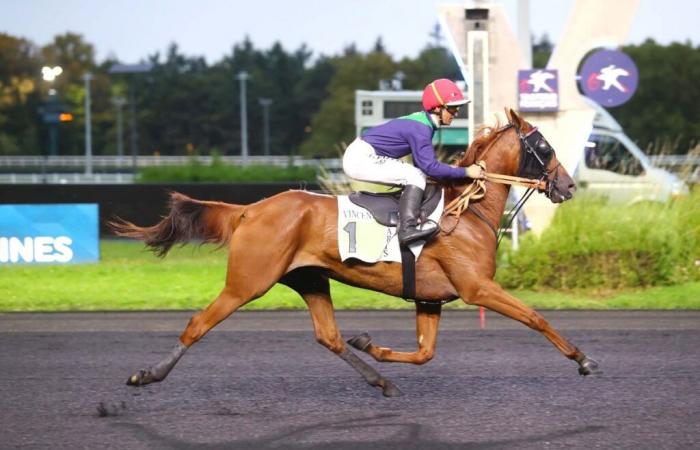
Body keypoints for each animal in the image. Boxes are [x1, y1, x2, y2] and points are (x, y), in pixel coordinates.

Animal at [112, 109, 600, 398]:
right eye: (544, 147)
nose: (568, 186)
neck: (466, 210)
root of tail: (250, 209)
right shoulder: (478, 288)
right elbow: (536, 318)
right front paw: (583, 359)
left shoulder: (430, 298)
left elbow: (424, 353)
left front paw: (371, 345)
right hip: (248, 281)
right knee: (198, 323)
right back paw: (147, 374)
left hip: (309, 279)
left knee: (328, 337)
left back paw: (379, 378)